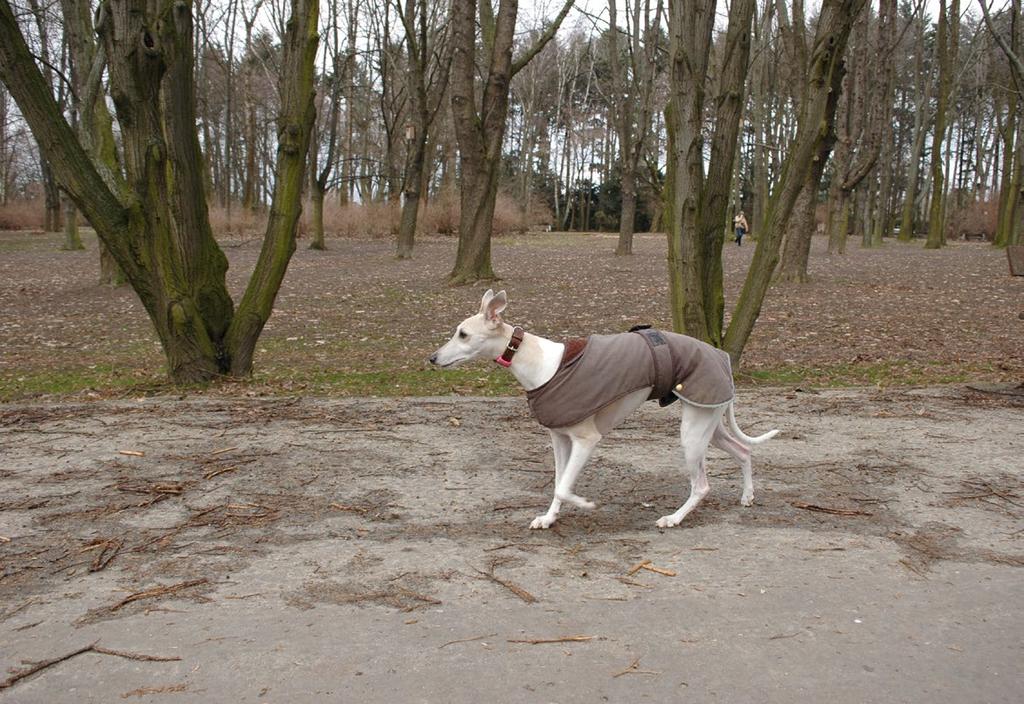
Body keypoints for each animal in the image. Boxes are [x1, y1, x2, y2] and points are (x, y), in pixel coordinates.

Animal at [430, 290, 774, 528]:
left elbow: (565, 487)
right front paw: (549, 519)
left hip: (692, 434)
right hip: (707, 423)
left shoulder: (586, 439)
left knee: (702, 486)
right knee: (743, 450)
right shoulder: (560, 438)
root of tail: (721, 357)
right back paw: (747, 496)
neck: (539, 362)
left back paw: (673, 518)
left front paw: (585, 504)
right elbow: (557, 483)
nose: (432, 358)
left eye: (463, 334)